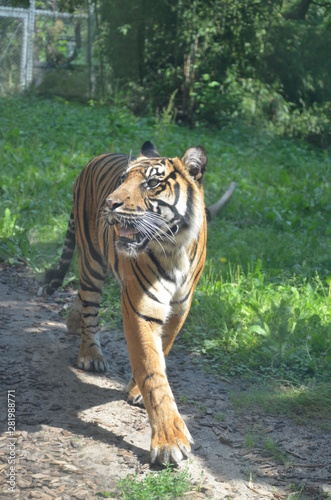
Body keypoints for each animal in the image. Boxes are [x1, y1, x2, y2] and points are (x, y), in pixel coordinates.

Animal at [42, 141, 209, 464]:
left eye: (153, 184)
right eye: (122, 180)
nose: (110, 204)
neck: (175, 249)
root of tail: (95, 157)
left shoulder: (180, 309)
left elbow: (161, 351)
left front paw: (136, 390)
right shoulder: (140, 307)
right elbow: (152, 371)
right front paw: (170, 441)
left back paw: (72, 322)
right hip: (92, 262)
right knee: (90, 307)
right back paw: (90, 354)